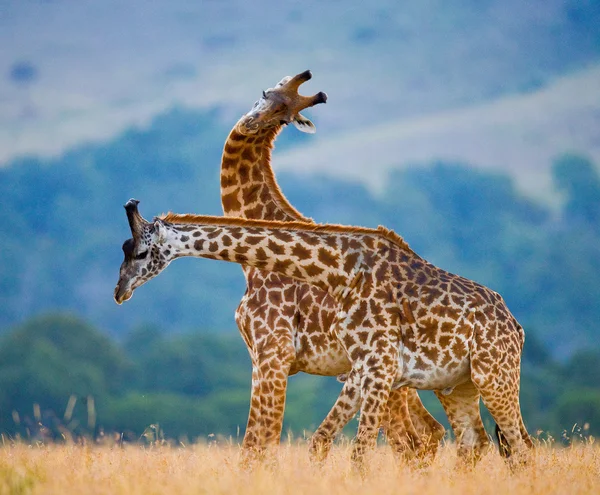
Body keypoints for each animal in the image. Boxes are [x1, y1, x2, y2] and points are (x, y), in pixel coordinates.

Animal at [115, 200, 532, 466]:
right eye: (124, 249)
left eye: (139, 253)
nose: (120, 292)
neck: (342, 271)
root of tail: (516, 326)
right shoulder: (362, 369)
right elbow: (320, 442)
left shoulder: (379, 366)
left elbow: (359, 454)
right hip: (458, 386)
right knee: (476, 443)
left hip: (495, 376)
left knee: (522, 446)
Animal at [218, 71, 442, 464]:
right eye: (265, 95)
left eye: (283, 116)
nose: (251, 123)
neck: (251, 266)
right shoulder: (259, 356)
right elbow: (257, 443)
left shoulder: (274, 352)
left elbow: (258, 443)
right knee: (428, 434)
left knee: (412, 441)